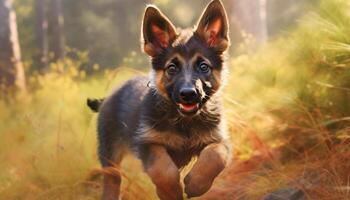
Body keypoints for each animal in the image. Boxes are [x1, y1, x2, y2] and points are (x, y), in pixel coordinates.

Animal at [87, 0, 232, 199]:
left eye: (203, 67)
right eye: (172, 68)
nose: (188, 94)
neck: (184, 123)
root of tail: (107, 98)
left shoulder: (219, 140)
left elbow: (216, 155)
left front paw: (197, 184)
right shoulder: (147, 143)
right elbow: (162, 168)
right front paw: (170, 191)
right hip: (110, 155)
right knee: (112, 180)